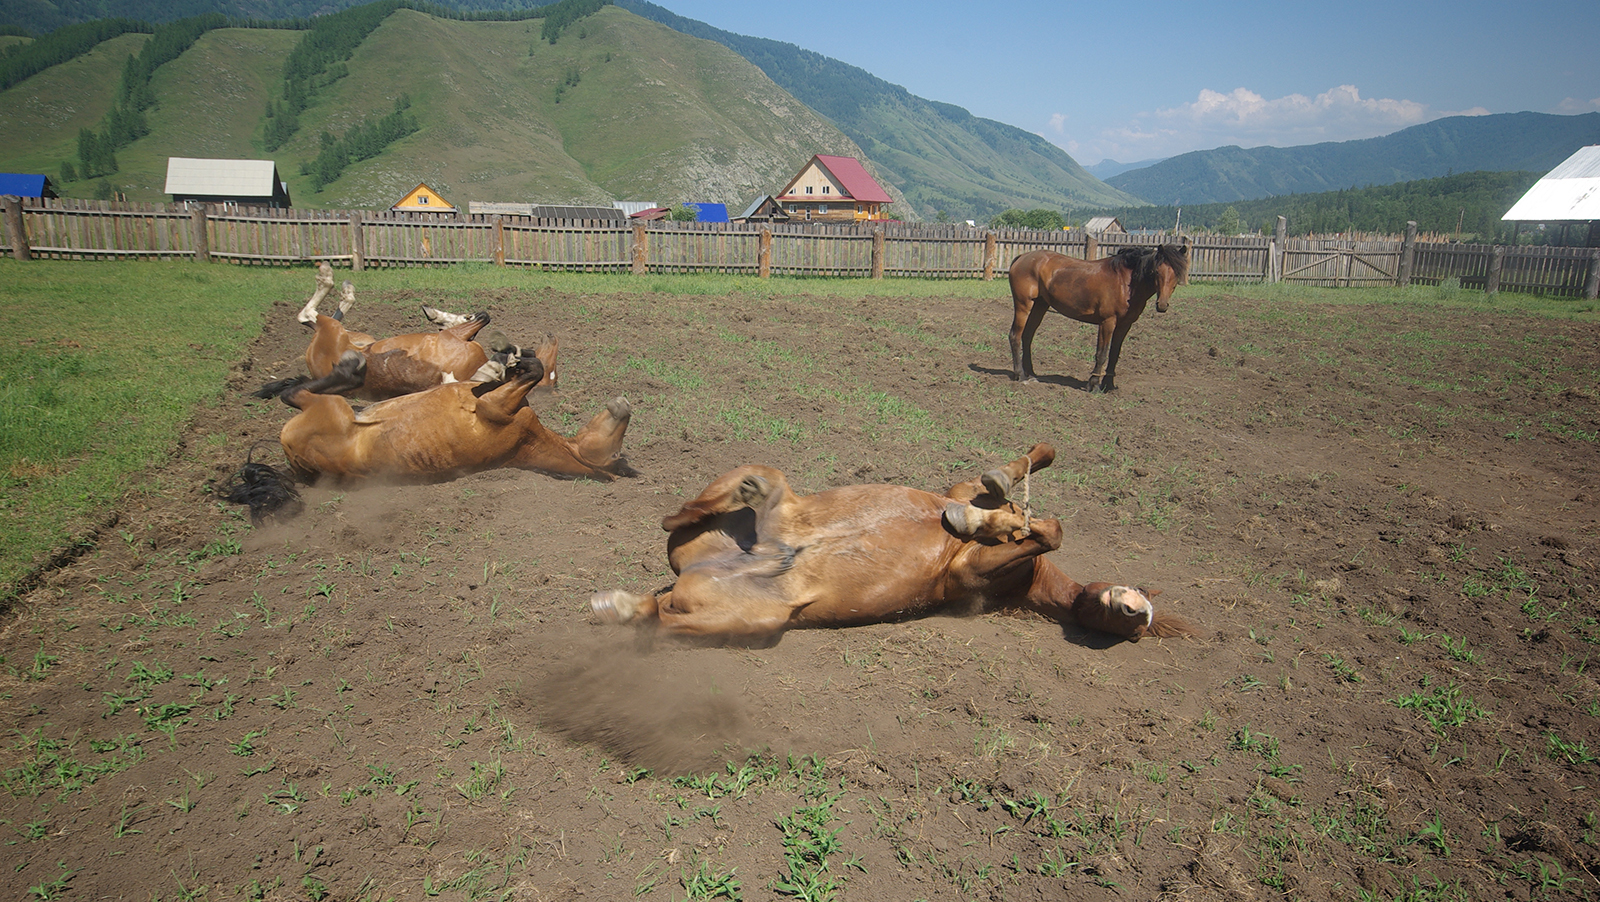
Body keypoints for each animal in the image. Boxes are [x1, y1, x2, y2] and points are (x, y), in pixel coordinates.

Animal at [275, 350, 631, 485]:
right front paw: (503, 363)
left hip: (329, 411)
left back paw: (349, 369)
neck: (528, 441)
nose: (625, 405)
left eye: (616, 454)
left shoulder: (493, 409)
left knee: (295, 395)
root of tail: (294, 458)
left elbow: (535, 371)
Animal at [590, 444, 1193, 646]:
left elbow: (1047, 531)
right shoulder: (961, 491)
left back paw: (622, 607)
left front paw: (1001, 523)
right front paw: (994, 511)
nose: (1133, 610)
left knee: (658, 618)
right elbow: (1018, 485)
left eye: (1136, 630)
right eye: (1133, 614)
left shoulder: (969, 580)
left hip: (759, 620)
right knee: (677, 518)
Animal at [1008, 244, 1189, 392]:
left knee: (1027, 336)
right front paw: (1093, 384)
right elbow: (1102, 353)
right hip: (1023, 305)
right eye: (1157, 271)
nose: (1162, 305)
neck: (1125, 283)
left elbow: (1114, 354)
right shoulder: (1107, 322)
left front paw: (1109, 385)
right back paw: (1020, 375)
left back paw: (1031, 374)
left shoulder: (1124, 325)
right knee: (1015, 336)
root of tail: (1021, 258)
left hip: (1040, 305)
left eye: (1177, 274)